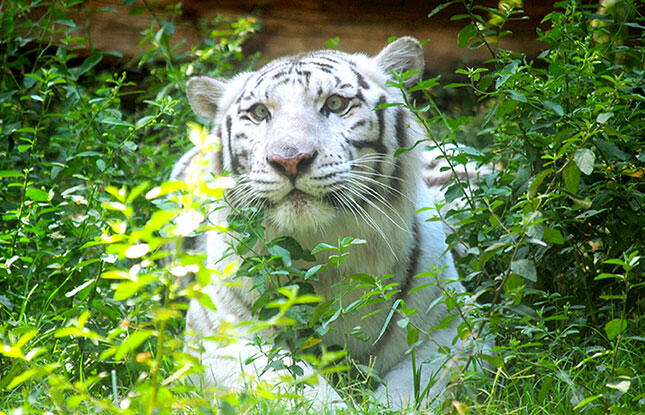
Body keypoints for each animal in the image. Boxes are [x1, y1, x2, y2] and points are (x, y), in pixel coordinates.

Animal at [173, 36, 489, 409]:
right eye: (260, 113)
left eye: (336, 104)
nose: (290, 160)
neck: (322, 251)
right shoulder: (223, 337)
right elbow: (296, 386)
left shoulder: (454, 329)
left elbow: (412, 390)